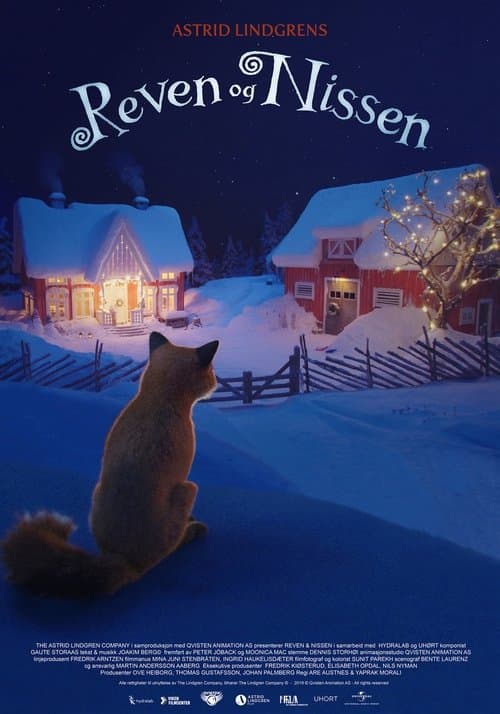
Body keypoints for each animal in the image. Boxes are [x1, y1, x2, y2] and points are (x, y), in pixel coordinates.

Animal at [1, 332, 219, 598]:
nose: (216, 382)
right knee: (169, 549)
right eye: (211, 373)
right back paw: (194, 529)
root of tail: (120, 559)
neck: (157, 398)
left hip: (97, 491)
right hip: (188, 489)